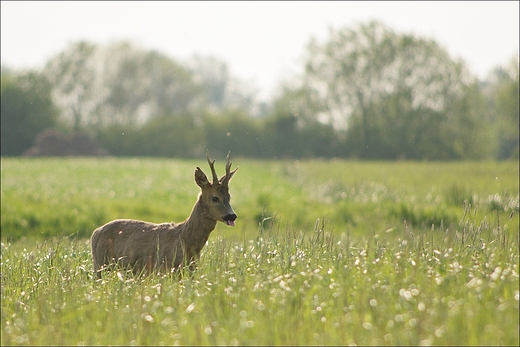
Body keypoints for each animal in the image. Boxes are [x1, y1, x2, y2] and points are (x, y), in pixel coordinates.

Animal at [91, 152, 238, 280]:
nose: (232, 216)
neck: (186, 240)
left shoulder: (190, 268)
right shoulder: (163, 267)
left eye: (229, 197)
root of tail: (95, 233)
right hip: (100, 263)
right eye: (215, 198)